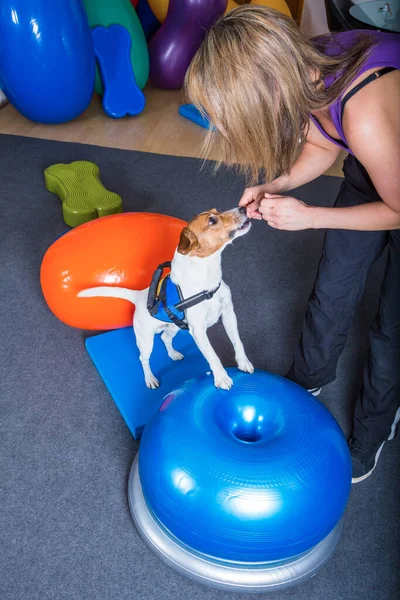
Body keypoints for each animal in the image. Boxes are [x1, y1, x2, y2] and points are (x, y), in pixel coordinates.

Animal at [77, 209, 253, 392]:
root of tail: (139, 295)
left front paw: (243, 363)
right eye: (212, 220)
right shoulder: (198, 331)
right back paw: (150, 378)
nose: (242, 208)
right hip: (145, 340)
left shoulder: (228, 314)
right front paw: (221, 377)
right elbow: (212, 356)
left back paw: (173, 353)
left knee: (165, 338)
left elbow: (237, 342)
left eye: (216, 211)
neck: (206, 281)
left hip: (173, 327)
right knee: (143, 359)